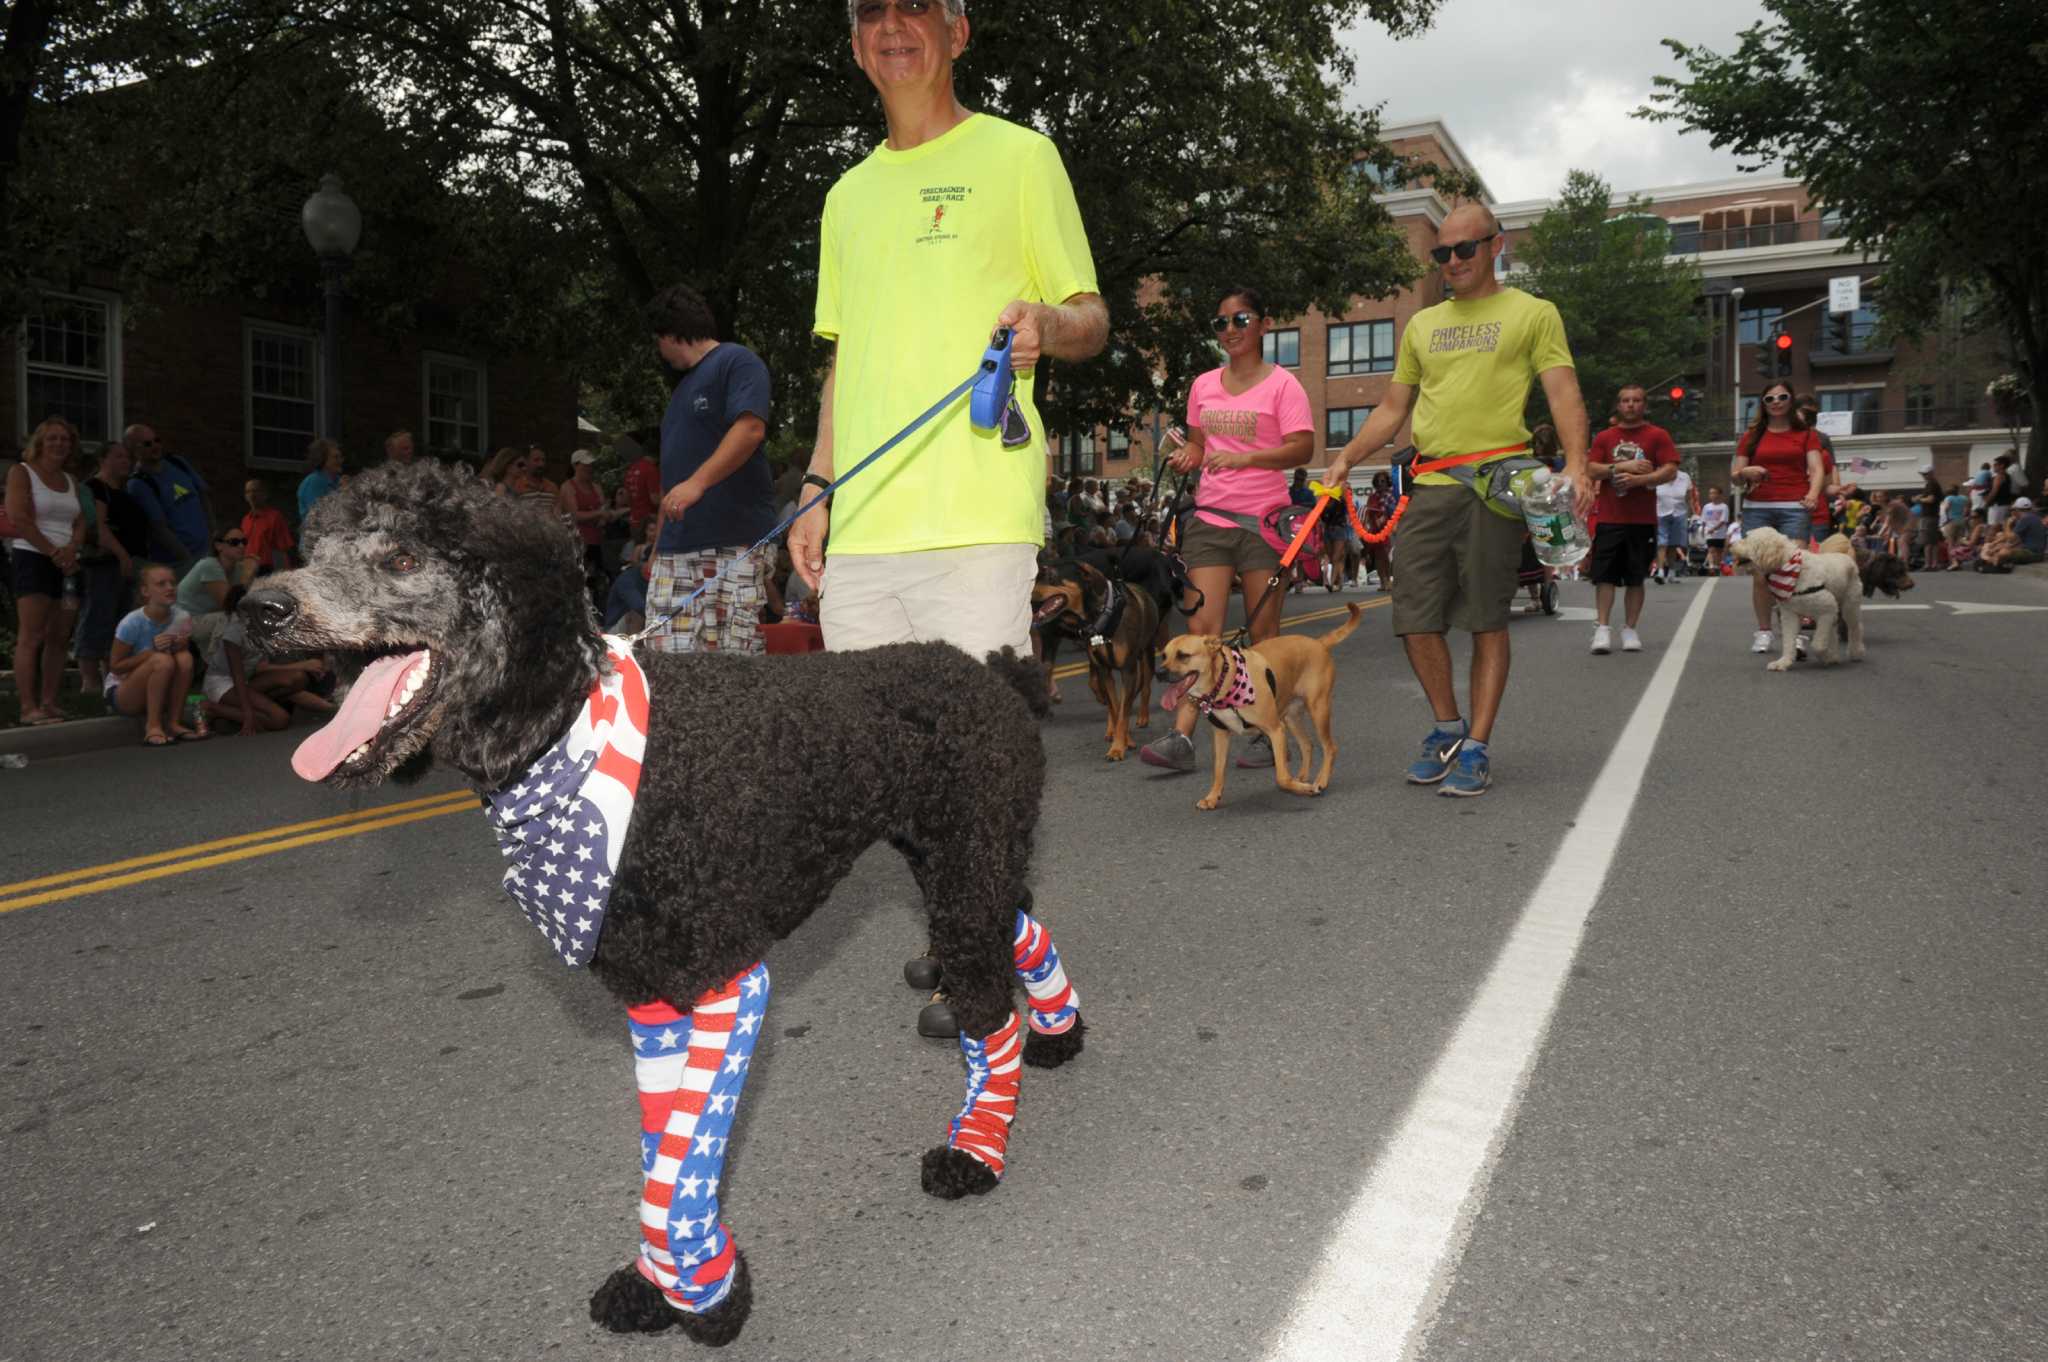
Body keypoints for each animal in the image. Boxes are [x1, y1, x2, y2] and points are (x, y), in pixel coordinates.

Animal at [1155, 602, 1359, 806]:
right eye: (1164, 655)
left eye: (1183, 655)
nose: (1159, 673)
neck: (1224, 679)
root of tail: (1318, 643)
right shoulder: (1221, 735)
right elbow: (1218, 771)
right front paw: (1212, 797)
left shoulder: (1276, 730)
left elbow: (1282, 778)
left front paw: (1305, 788)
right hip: (1292, 717)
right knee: (1307, 745)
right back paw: (1301, 779)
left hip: (1318, 711)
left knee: (1330, 748)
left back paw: (1320, 782)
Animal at [1736, 520, 1867, 667]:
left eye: (1747, 539)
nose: (1731, 545)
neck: (1791, 570)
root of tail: (1847, 556)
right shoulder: (1791, 616)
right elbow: (1789, 642)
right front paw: (1783, 662)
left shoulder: (1827, 609)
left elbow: (1817, 645)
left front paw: (1825, 656)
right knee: (1833, 632)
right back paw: (1834, 656)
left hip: (1849, 607)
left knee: (1856, 628)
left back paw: (1856, 652)